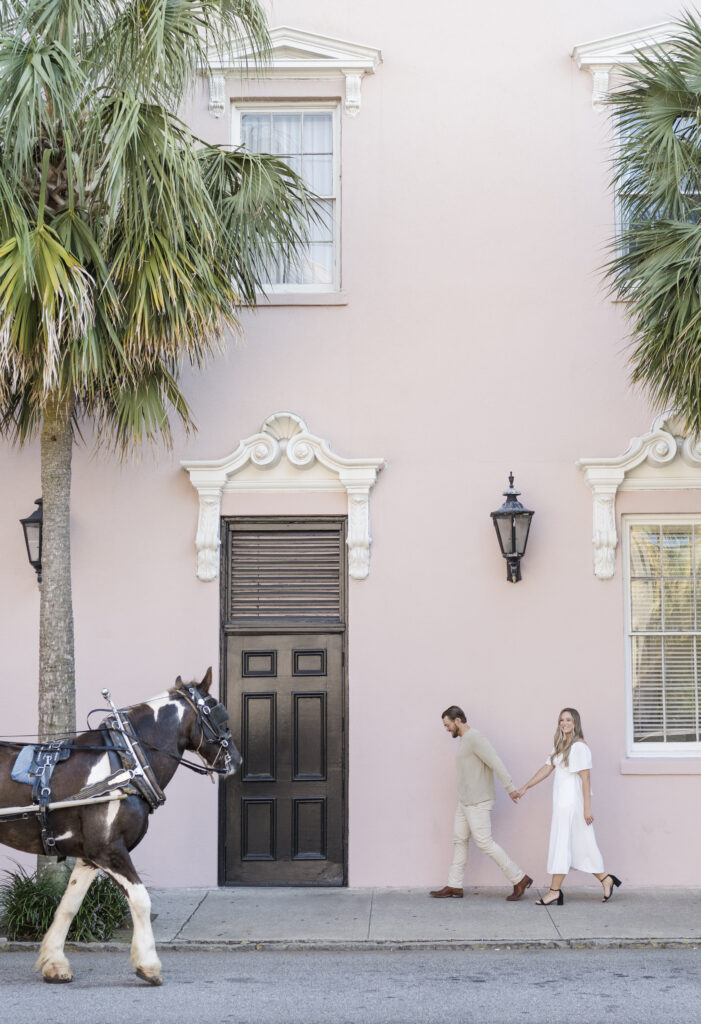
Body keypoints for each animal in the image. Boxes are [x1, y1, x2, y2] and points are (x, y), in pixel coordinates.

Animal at [0, 667, 240, 987]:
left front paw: (54, 962)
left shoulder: (90, 855)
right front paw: (148, 965)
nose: (236, 760)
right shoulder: (110, 851)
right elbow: (140, 899)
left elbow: (70, 904)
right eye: (219, 715)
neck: (128, 763)